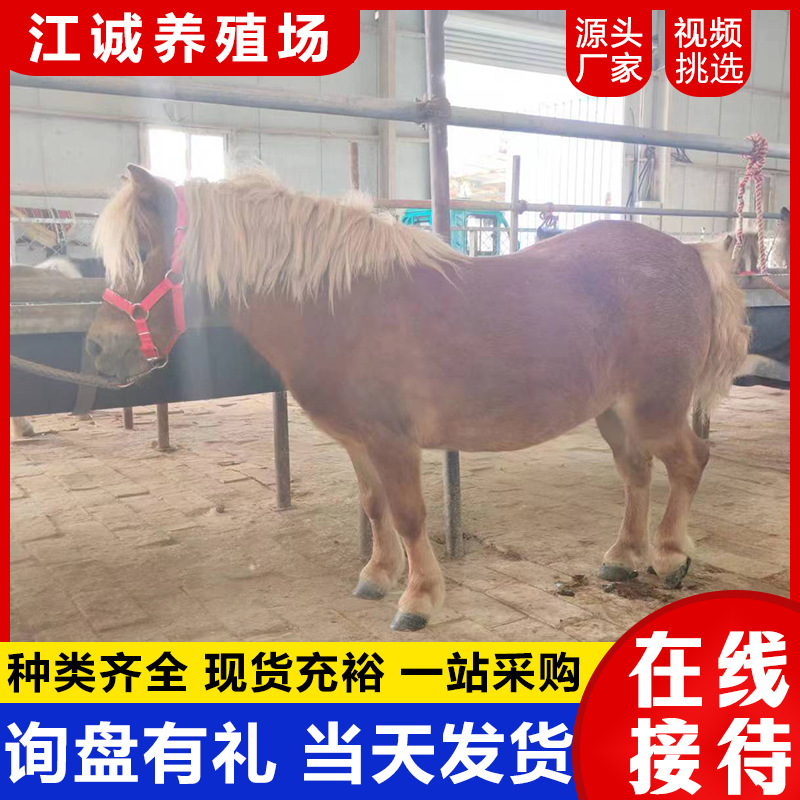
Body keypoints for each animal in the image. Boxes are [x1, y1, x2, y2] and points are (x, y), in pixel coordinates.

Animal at [86, 165, 750, 631]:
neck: (341, 306)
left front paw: (419, 599)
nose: (96, 351)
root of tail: (688, 254)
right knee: (636, 472)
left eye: (142, 253)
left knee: (690, 461)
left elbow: (408, 515)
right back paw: (623, 554)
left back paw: (669, 555)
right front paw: (377, 575)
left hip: (656, 407)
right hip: (613, 411)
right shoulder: (358, 443)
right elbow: (374, 506)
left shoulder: (392, 441)